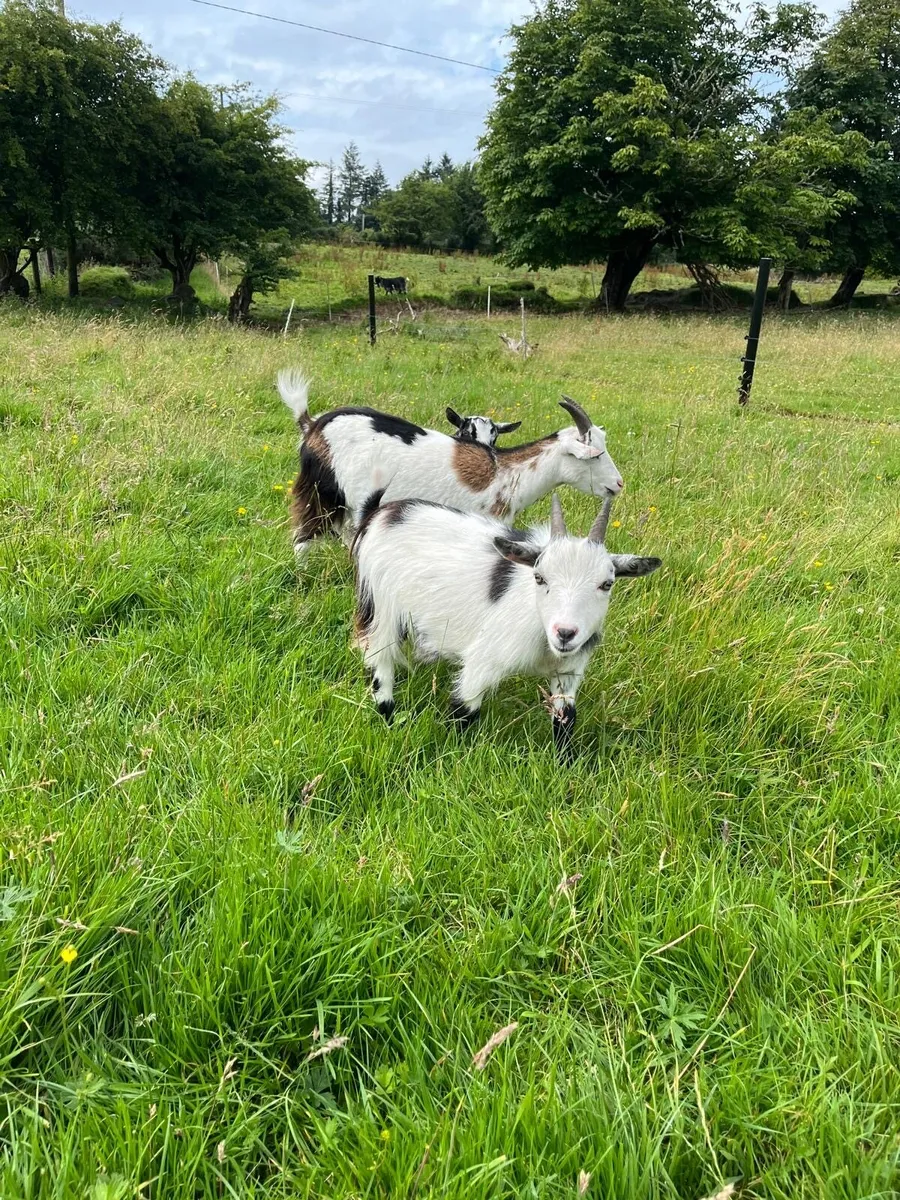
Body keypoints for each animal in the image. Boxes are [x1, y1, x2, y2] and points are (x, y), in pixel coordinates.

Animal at [278, 369, 624, 558]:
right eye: (596, 454)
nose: (618, 484)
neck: (507, 474)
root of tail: (313, 425)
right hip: (326, 491)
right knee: (303, 538)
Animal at [353, 494, 661, 752]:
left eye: (607, 584)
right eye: (539, 577)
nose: (565, 633)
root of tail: (383, 513)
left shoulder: (568, 672)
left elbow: (565, 718)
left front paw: (566, 765)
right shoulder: (483, 661)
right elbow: (464, 711)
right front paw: (452, 755)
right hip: (381, 606)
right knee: (379, 661)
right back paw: (388, 715)